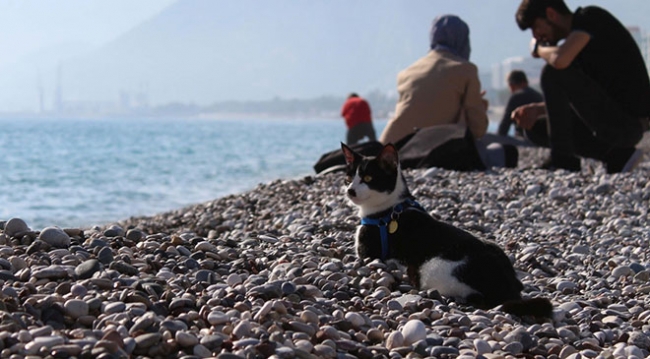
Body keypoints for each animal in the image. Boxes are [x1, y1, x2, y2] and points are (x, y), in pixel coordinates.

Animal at [342, 143, 548, 318]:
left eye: (368, 178)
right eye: (348, 178)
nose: (350, 190)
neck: (389, 210)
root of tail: (507, 285)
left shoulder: (368, 252)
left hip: (433, 269)